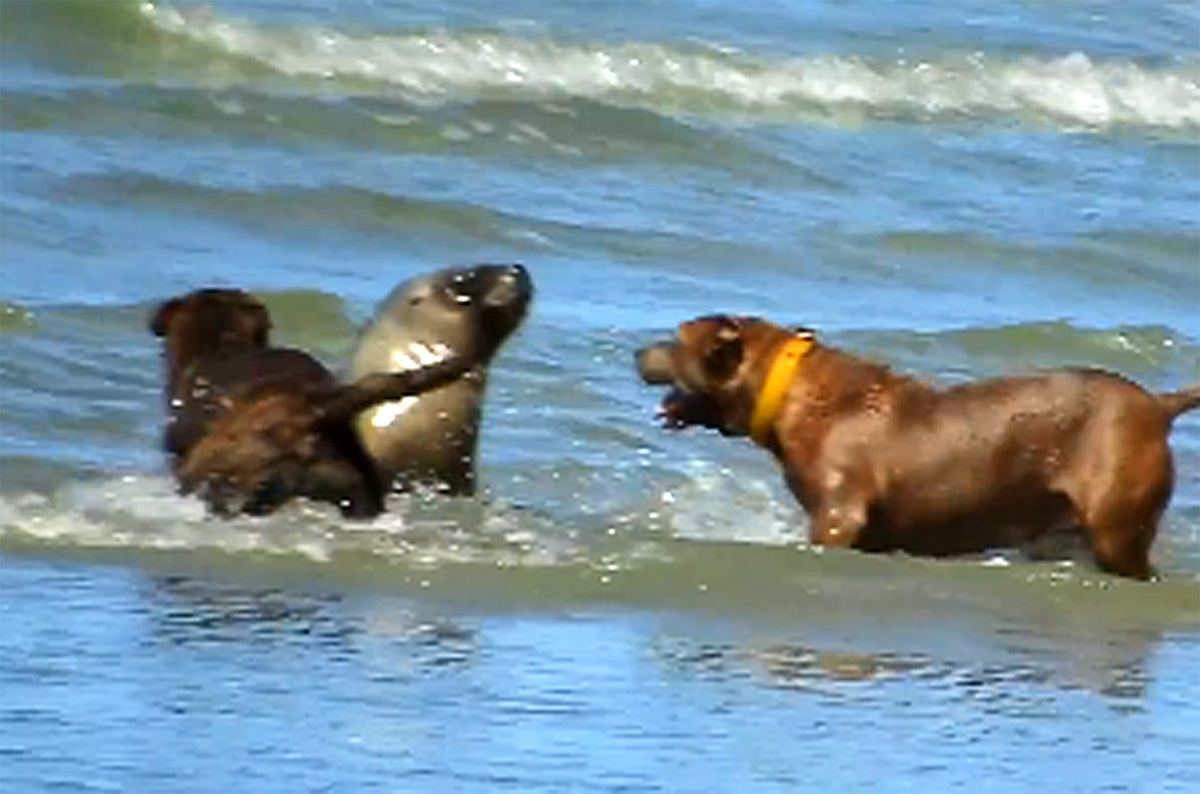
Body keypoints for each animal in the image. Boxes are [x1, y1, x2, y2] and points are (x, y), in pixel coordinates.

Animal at [638, 314, 1200, 582]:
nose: (637, 351)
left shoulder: (839, 515)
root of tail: (1158, 405)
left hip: (1116, 526)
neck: (792, 393)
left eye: (674, 339)